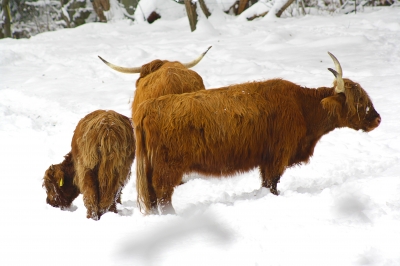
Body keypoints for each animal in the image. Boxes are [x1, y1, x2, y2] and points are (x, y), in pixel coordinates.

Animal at [134, 53, 382, 215]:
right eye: (359, 101)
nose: (377, 119)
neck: (302, 107)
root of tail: (148, 107)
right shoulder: (278, 156)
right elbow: (272, 183)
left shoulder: (267, 159)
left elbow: (265, 183)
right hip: (168, 167)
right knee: (163, 194)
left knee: (154, 196)